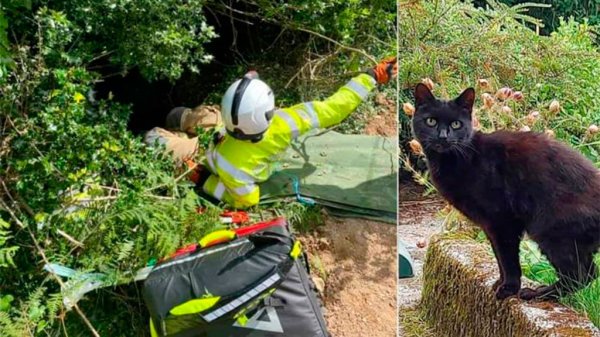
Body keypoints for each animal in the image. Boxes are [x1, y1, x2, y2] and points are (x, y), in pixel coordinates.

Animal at [412, 84, 600, 300]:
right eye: (431, 121)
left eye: (456, 124)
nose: (443, 136)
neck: (459, 159)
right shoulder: (489, 225)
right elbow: (499, 257)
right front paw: (499, 284)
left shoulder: (502, 220)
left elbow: (508, 258)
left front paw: (508, 288)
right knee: (589, 272)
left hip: (550, 231)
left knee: (580, 275)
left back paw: (538, 293)